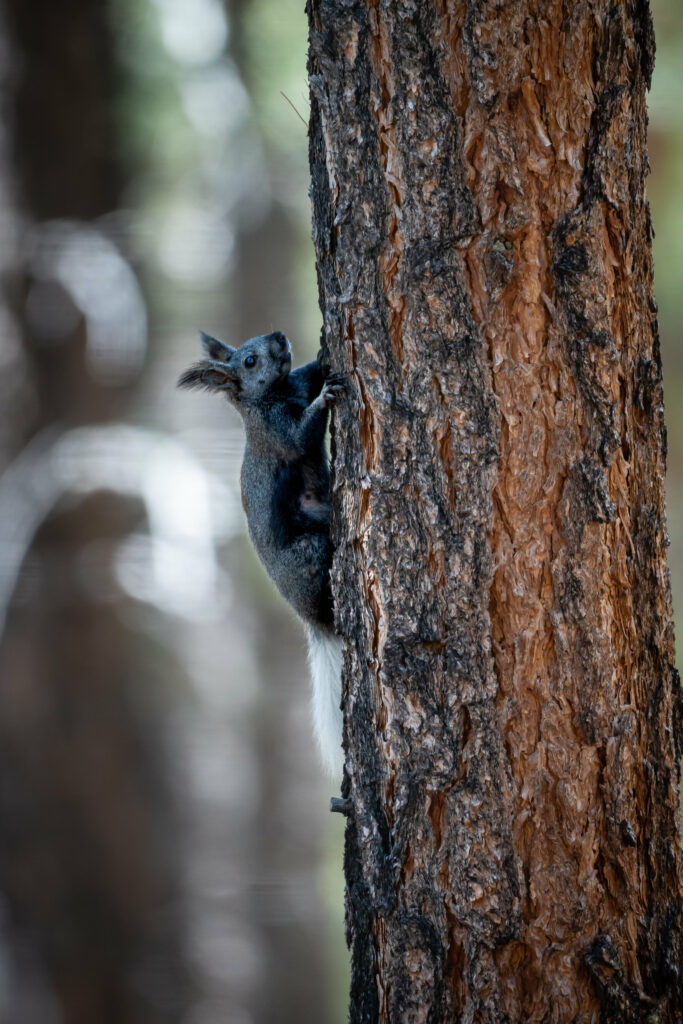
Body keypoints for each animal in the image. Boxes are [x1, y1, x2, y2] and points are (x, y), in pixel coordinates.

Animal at [178, 330, 345, 776]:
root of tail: (310, 616)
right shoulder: (274, 432)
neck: (276, 394)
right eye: (249, 361)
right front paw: (327, 396)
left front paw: (322, 355)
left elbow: (308, 372)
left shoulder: (296, 382)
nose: (280, 336)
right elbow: (299, 437)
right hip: (310, 553)